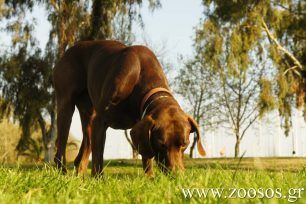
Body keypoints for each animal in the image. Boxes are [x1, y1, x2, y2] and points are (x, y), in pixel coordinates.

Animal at [53, 39, 206, 175]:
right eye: (161, 144)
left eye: (184, 144)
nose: (176, 176)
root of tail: (67, 51)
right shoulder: (100, 121)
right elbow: (98, 158)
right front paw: (99, 180)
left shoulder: (142, 124)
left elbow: (147, 158)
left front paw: (150, 179)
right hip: (66, 107)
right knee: (61, 146)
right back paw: (62, 173)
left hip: (88, 114)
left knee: (84, 151)